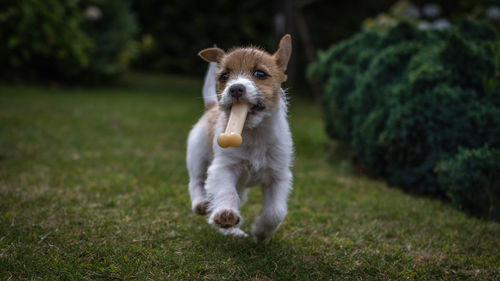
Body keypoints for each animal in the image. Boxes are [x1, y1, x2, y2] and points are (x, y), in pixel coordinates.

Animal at [186, 34, 292, 241]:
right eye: (224, 76)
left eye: (260, 74)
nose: (235, 88)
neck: (254, 133)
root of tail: (211, 106)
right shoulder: (223, 168)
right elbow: (226, 192)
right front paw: (225, 213)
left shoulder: (278, 177)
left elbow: (276, 212)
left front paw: (261, 232)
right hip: (197, 156)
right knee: (196, 182)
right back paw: (202, 204)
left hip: (241, 185)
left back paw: (232, 230)